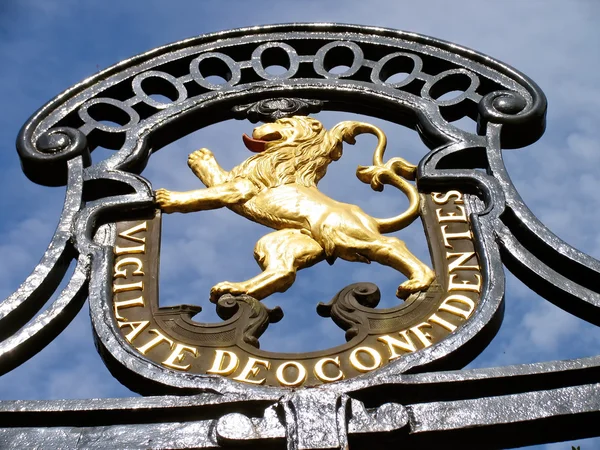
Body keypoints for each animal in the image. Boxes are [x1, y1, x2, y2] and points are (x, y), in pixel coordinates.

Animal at [157, 117, 434, 302]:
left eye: (282, 122)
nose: (255, 127)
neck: (287, 155)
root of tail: (370, 219)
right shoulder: (236, 181)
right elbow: (214, 177)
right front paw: (199, 157)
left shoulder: (241, 188)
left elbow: (206, 192)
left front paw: (168, 197)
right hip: (287, 241)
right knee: (282, 272)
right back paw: (236, 288)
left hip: (345, 234)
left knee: (392, 246)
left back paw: (419, 281)